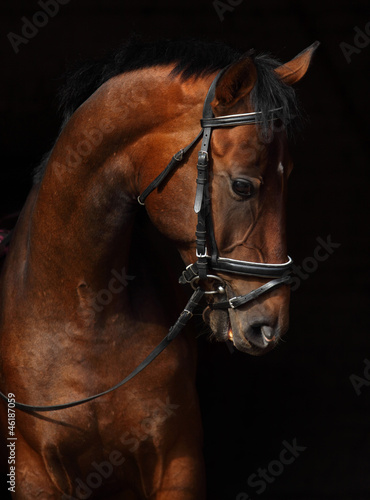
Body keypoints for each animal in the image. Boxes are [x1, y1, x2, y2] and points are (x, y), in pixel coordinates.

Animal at [0, 37, 318, 498]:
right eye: (243, 185)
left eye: (289, 175)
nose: (268, 325)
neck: (82, 312)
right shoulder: (32, 473)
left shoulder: (177, 464)